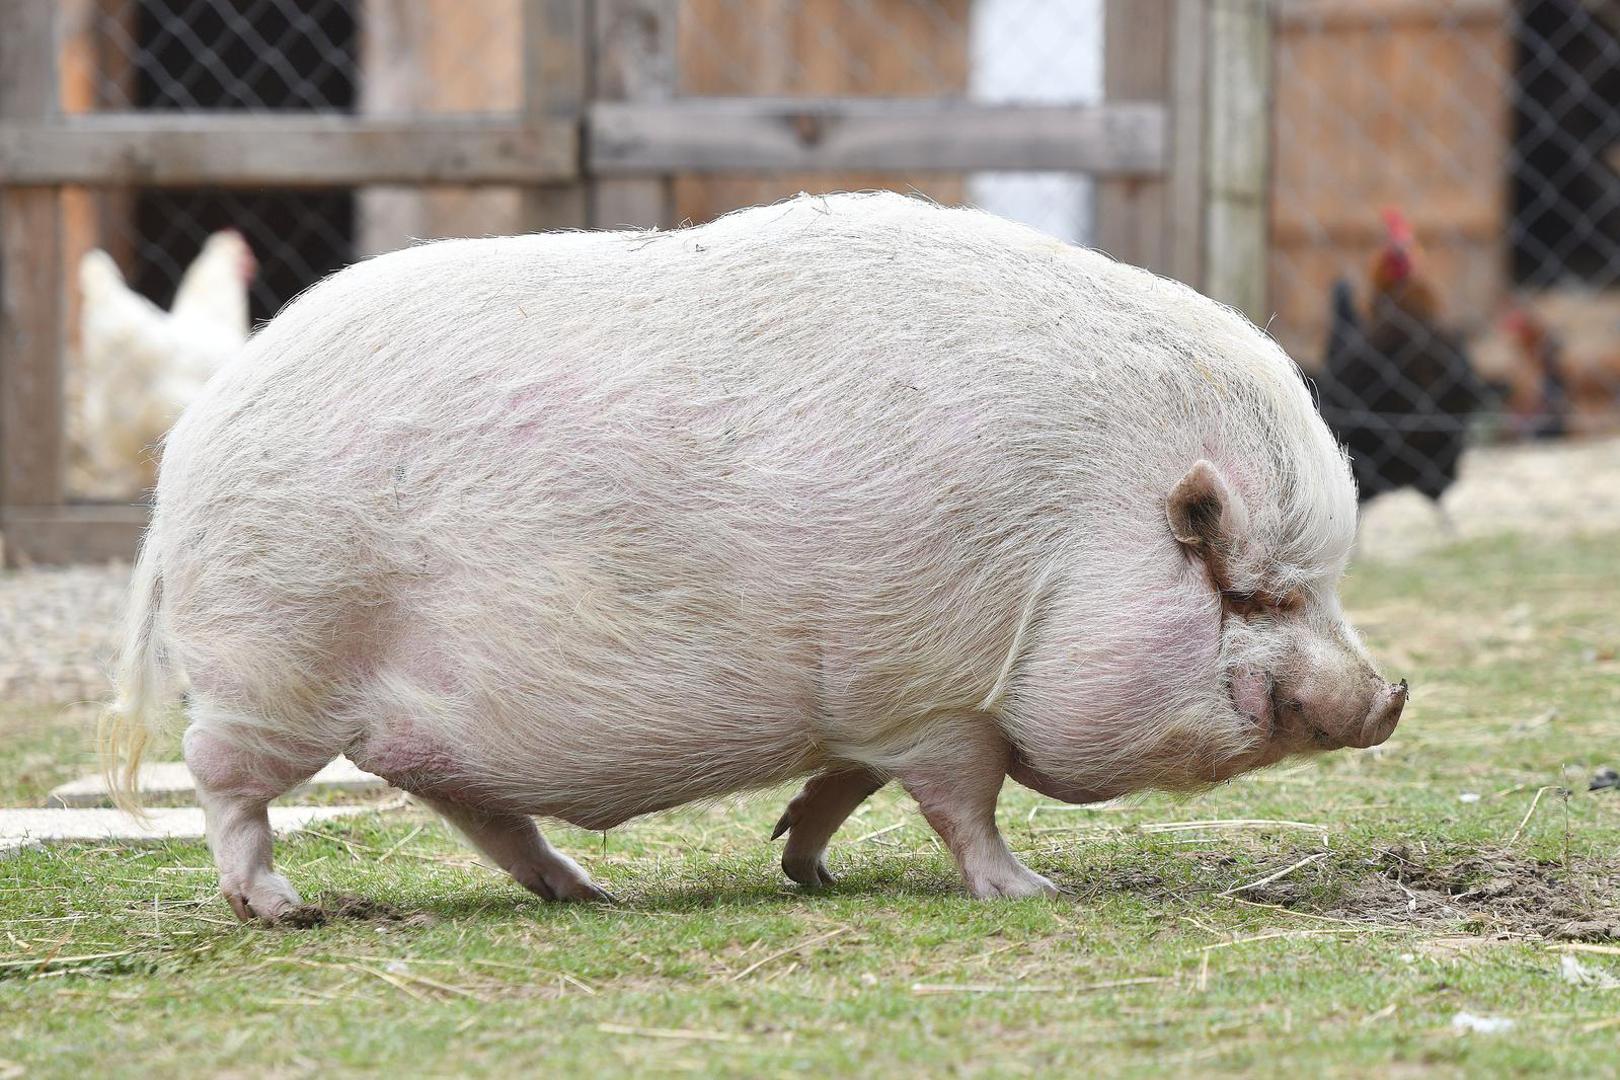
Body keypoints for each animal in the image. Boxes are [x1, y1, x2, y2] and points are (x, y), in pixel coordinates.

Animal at [101, 190, 1399, 919]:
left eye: (1315, 587)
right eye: (1255, 592)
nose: (1389, 694)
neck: (1063, 539)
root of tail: (186, 451)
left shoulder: (879, 700)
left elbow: (851, 784)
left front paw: (807, 868)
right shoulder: (930, 688)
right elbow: (962, 803)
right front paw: (1034, 893)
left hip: (412, 716)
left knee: (473, 808)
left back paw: (591, 894)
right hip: (272, 660)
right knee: (222, 781)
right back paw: (279, 908)